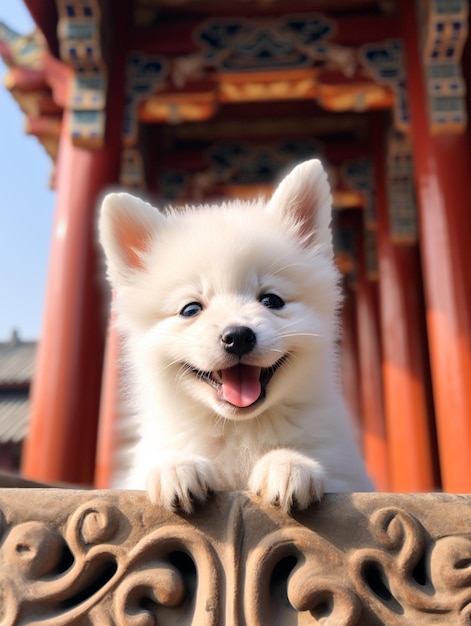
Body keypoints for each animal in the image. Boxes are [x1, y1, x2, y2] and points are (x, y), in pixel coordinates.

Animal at [98, 160, 372, 512]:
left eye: (271, 301)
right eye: (190, 309)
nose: (238, 336)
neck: (239, 429)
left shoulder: (348, 472)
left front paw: (287, 464)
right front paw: (176, 467)